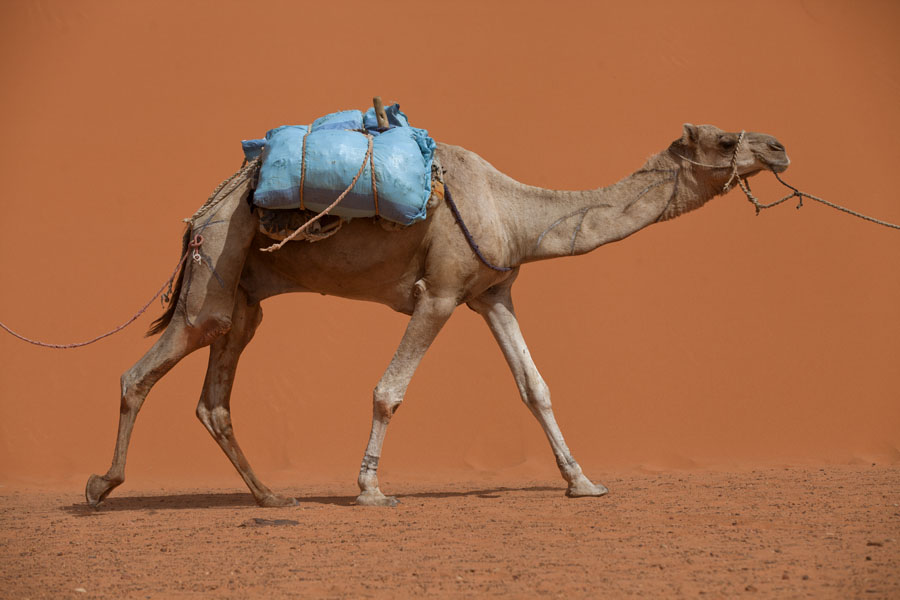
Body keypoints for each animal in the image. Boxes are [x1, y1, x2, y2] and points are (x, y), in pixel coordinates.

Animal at [85, 123, 789, 507]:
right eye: (727, 138)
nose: (780, 147)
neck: (513, 209)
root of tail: (201, 213)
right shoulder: (441, 292)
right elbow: (389, 390)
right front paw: (370, 490)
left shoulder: (492, 293)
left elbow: (535, 387)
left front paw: (583, 482)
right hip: (215, 265)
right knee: (143, 371)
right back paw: (101, 487)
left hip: (244, 295)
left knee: (216, 396)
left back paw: (271, 495)